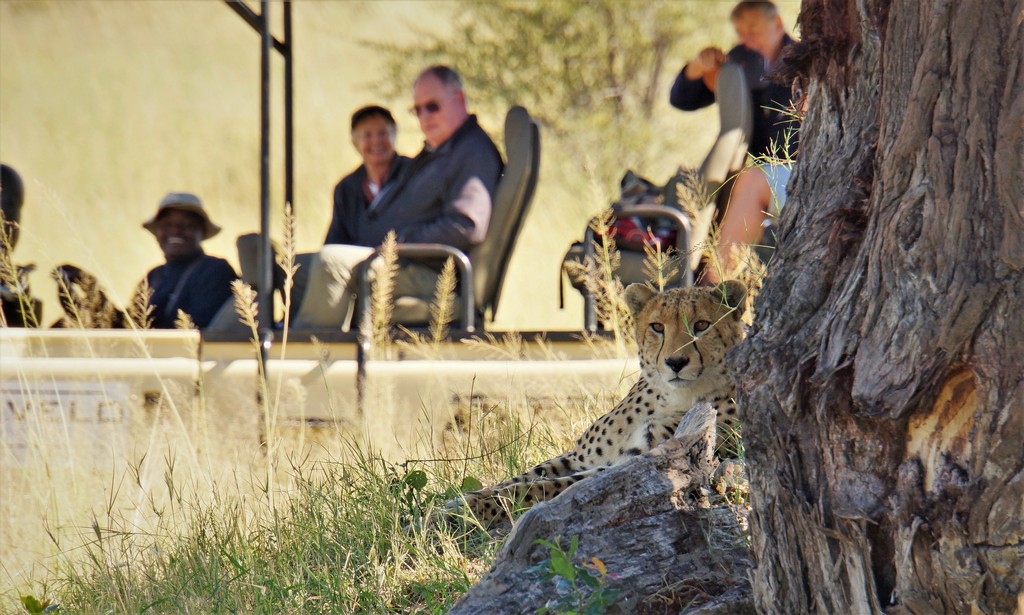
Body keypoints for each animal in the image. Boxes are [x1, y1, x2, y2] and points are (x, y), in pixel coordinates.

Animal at [442, 280, 748, 527]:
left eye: (702, 325)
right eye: (657, 327)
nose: (676, 362)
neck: (668, 396)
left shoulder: (636, 467)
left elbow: (538, 488)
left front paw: (471, 509)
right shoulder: (579, 458)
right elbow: (523, 477)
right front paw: (462, 498)